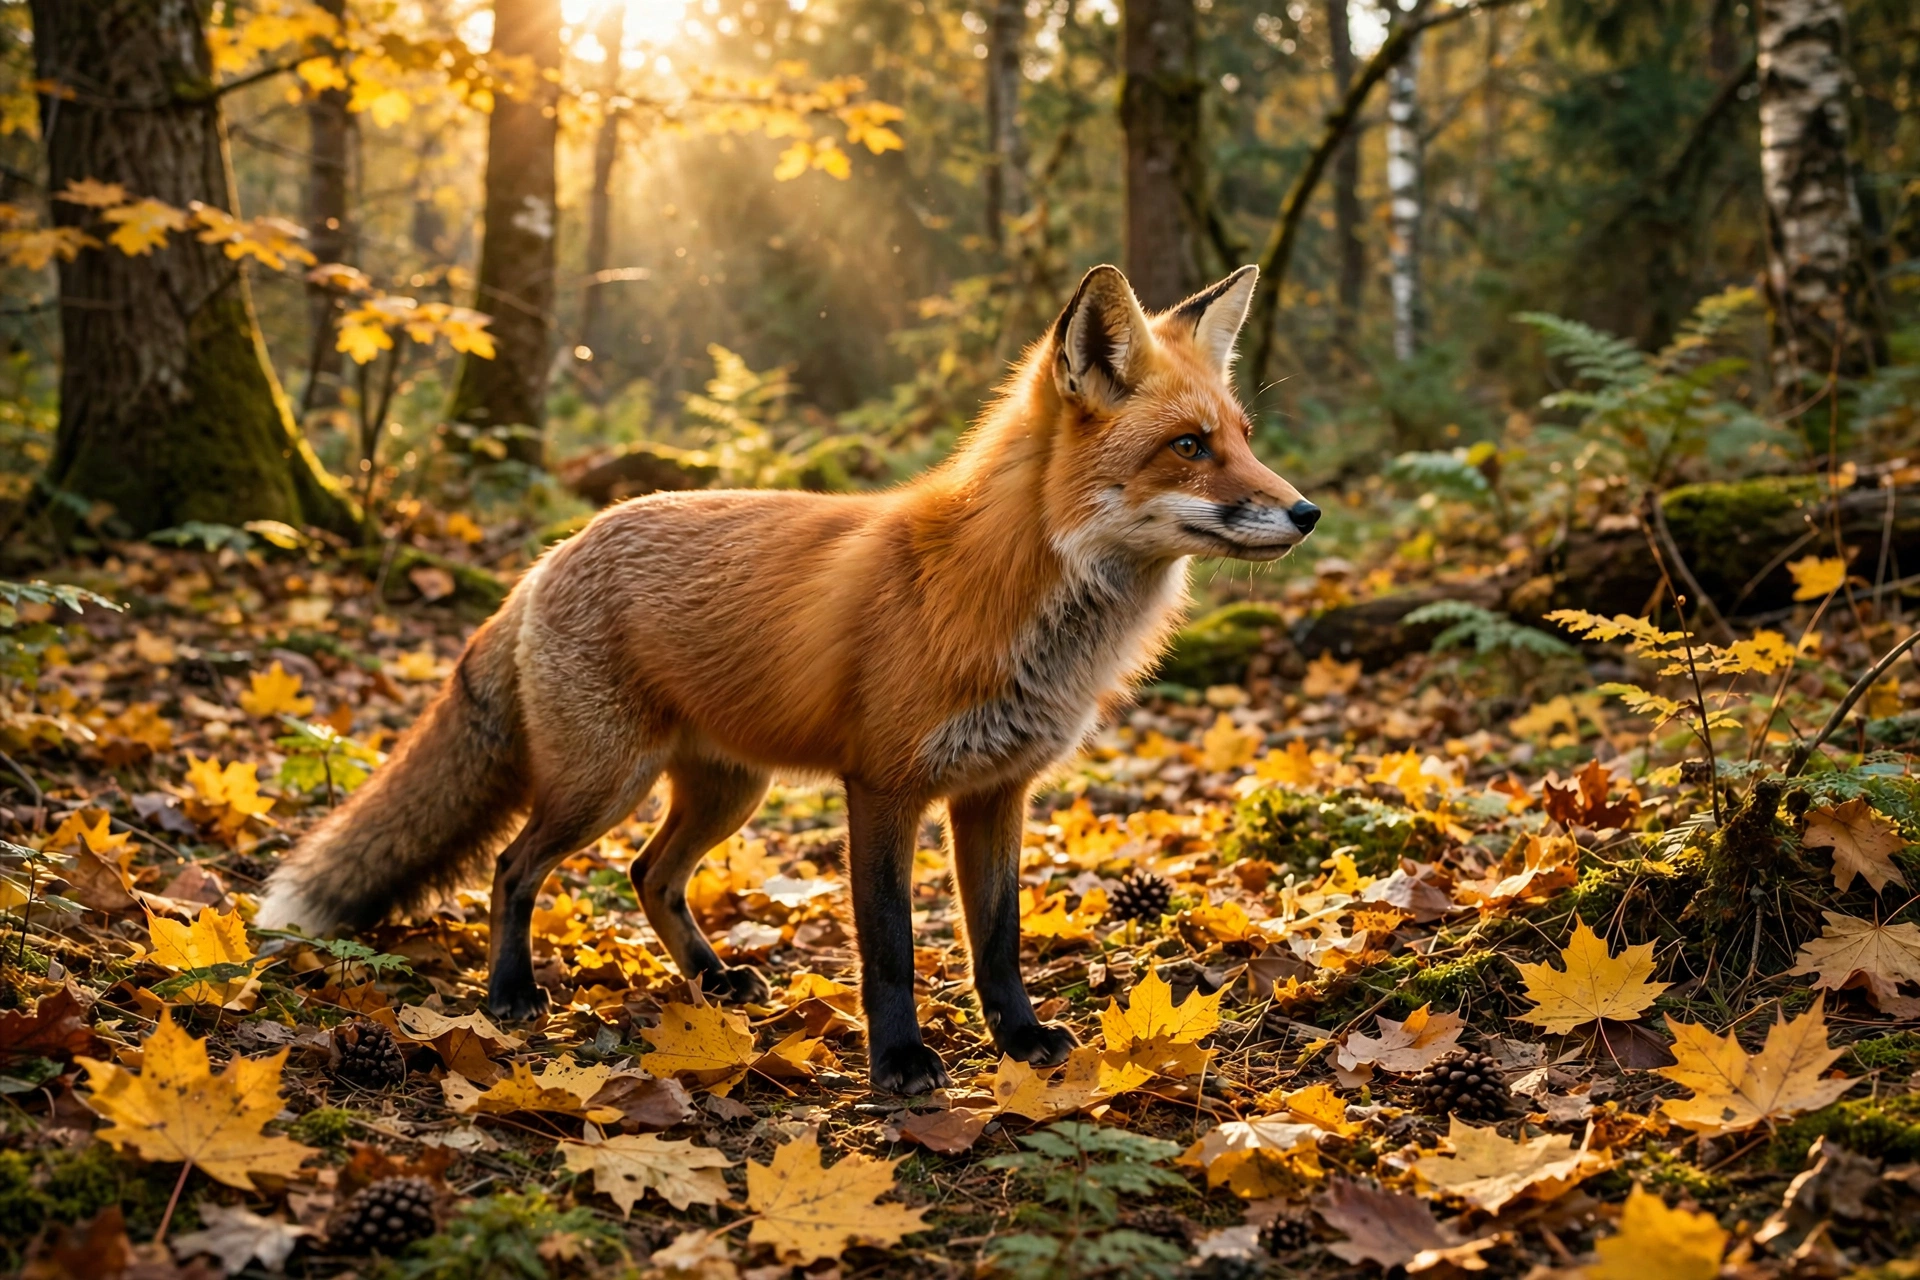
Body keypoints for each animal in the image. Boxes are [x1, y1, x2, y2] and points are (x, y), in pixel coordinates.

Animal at [257, 262, 1318, 1094]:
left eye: (1244, 436)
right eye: (1189, 447)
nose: (1307, 512)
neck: (1013, 598)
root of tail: (552, 554)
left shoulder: (997, 792)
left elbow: (999, 939)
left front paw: (1017, 1041)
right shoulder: (884, 787)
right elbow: (889, 945)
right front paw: (901, 1063)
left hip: (731, 790)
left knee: (648, 875)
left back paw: (713, 981)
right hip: (603, 784)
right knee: (516, 868)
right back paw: (513, 992)